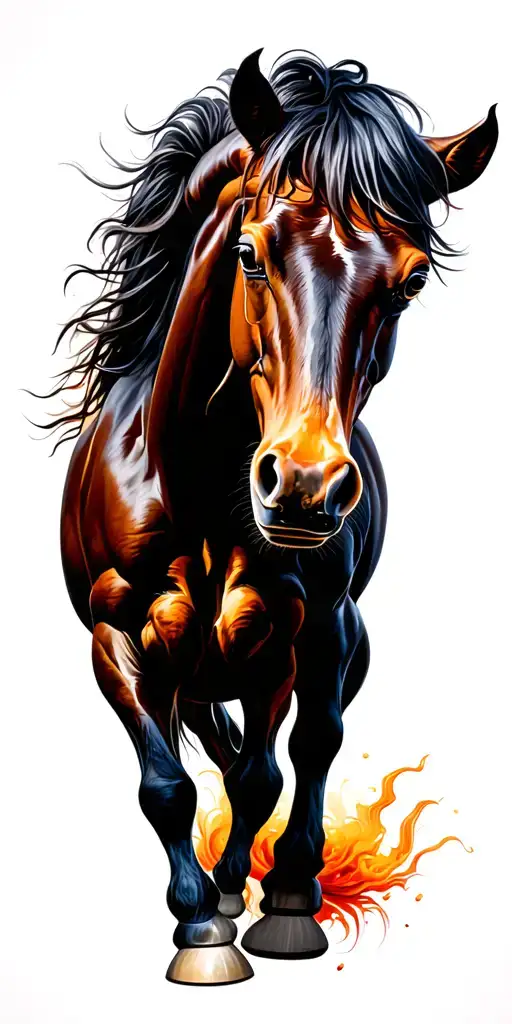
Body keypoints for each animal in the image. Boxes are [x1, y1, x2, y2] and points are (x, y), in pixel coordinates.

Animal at [54, 50, 497, 985]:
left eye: (410, 280)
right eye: (251, 253)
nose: (302, 485)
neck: (196, 493)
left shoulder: (287, 637)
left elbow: (268, 773)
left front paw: (257, 909)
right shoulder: (117, 638)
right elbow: (168, 785)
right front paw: (199, 926)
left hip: (332, 639)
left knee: (308, 745)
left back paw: (283, 886)